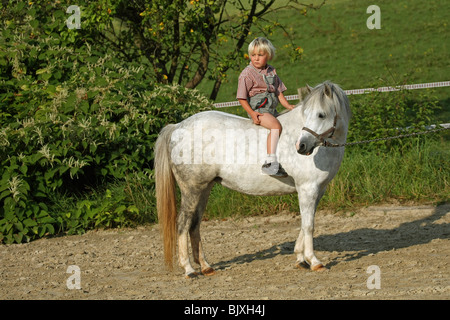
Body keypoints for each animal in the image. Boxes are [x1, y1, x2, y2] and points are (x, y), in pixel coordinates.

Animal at [155, 81, 352, 278]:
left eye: (320, 114)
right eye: (309, 114)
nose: (301, 146)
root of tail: (178, 127)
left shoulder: (317, 191)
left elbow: (305, 224)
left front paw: (300, 258)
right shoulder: (307, 188)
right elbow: (309, 225)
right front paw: (314, 261)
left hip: (204, 189)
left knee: (194, 225)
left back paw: (205, 266)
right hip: (192, 189)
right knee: (183, 223)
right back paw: (188, 269)